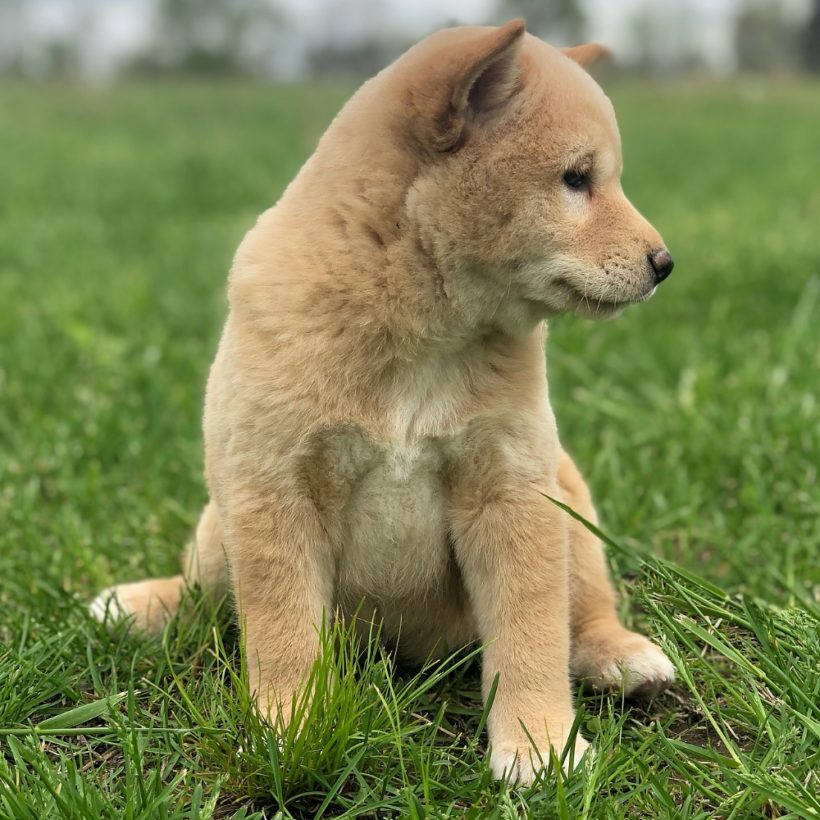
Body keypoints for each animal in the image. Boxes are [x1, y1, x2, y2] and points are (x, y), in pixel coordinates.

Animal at [93, 22, 676, 784]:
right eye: (576, 178)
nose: (665, 264)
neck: (423, 333)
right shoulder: (271, 489)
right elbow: (281, 635)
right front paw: (289, 731)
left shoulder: (513, 490)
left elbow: (530, 631)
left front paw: (539, 746)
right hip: (220, 527)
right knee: (202, 594)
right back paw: (140, 604)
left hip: (568, 498)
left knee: (584, 611)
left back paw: (619, 655)